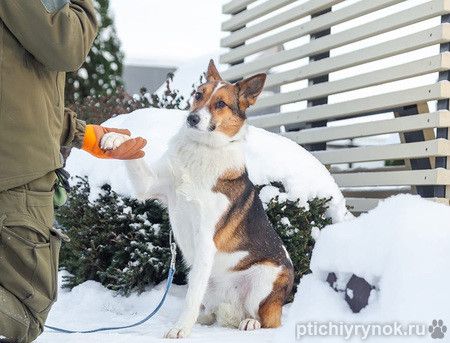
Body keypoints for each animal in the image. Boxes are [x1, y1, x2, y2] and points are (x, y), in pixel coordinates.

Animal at [100, 61, 294, 338]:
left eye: (221, 103)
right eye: (198, 95)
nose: (192, 118)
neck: (202, 149)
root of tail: (231, 309)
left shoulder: (205, 239)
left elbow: (190, 298)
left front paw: (180, 329)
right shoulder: (150, 186)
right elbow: (134, 153)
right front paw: (117, 139)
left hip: (266, 277)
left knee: (269, 319)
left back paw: (250, 322)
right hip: (206, 280)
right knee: (209, 308)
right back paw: (204, 319)